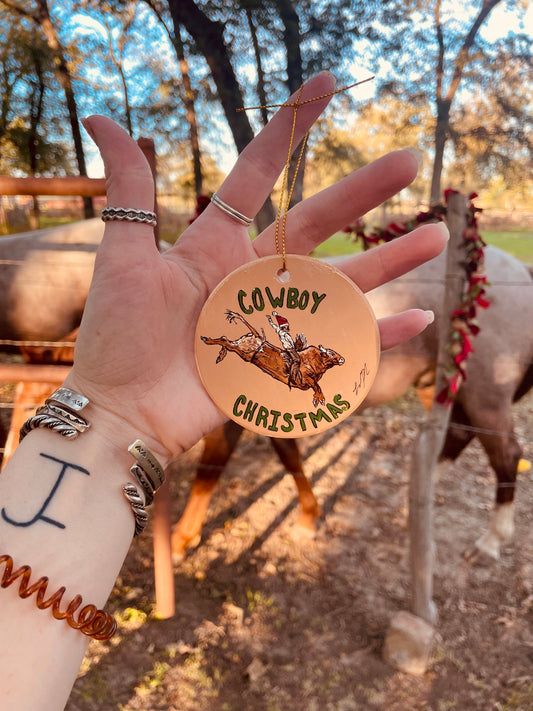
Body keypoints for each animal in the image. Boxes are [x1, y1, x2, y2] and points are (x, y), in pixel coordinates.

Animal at [200, 310, 344, 408]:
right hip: (242, 351)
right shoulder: (305, 378)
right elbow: (316, 385)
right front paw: (319, 399)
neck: (316, 360)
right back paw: (206, 340)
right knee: (225, 340)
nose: (342, 359)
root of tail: (256, 336)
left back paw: (219, 354)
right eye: (331, 353)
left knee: (225, 340)